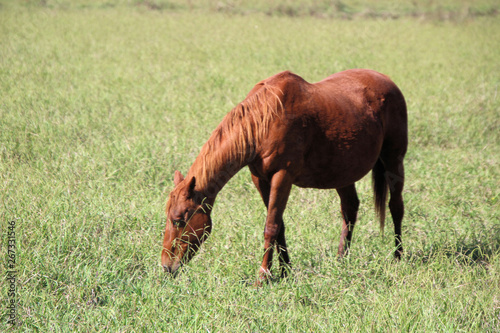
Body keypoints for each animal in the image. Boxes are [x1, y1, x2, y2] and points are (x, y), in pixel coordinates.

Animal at [162, 68, 408, 278]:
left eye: (178, 220)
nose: (166, 266)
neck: (264, 119)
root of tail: (388, 82)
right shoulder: (260, 179)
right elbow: (279, 225)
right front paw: (285, 270)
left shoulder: (283, 176)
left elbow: (271, 226)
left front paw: (262, 277)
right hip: (343, 172)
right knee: (350, 209)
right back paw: (341, 259)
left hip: (394, 160)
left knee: (395, 206)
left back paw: (398, 256)